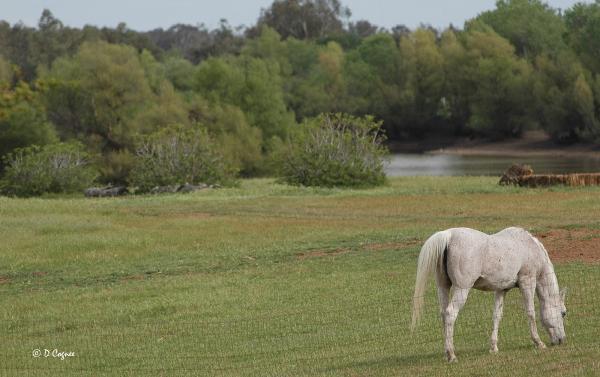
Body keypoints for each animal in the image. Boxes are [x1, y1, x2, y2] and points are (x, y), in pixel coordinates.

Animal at [410, 226, 564, 362]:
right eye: (563, 313)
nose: (562, 340)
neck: (530, 247)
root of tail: (448, 235)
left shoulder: (501, 290)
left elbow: (497, 316)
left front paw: (493, 347)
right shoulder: (528, 282)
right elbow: (531, 312)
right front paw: (538, 342)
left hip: (443, 287)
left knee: (443, 314)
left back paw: (447, 353)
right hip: (462, 289)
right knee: (450, 314)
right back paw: (452, 355)